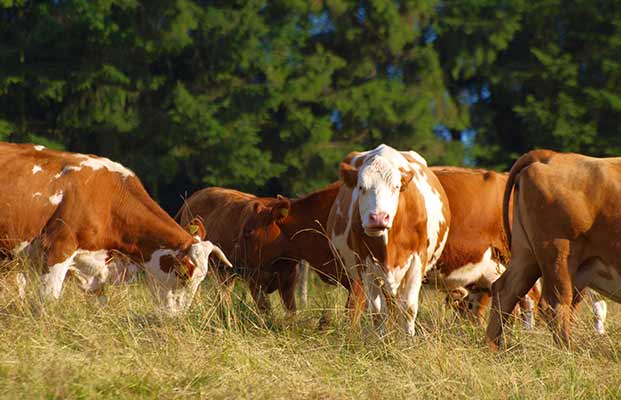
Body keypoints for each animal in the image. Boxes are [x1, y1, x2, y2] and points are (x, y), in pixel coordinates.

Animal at [0, 142, 230, 314]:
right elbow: (47, 302)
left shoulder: (97, 270)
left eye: (201, 279)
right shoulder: (58, 250)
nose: (178, 316)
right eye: (183, 274)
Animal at [324, 144, 450, 334]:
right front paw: (382, 338)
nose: (378, 217)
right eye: (361, 187)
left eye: (396, 187)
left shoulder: (417, 260)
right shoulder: (365, 264)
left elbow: (409, 308)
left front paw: (408, 338)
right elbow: (378, 311)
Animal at [486, 148, 616, 348]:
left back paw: (491, 347)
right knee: (555, 304)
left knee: (505, 290)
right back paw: (569, 351)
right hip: (558, 253)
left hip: (526, 255)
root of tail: (550, 155)